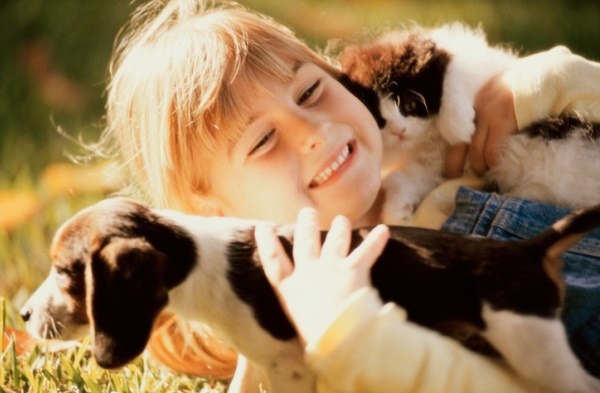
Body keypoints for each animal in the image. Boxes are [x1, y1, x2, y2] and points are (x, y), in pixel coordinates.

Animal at [21, 199, 600, 392]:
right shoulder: (259, 359)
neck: (199, 257)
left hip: (534, 347)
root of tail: (528, 248)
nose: (22, 314)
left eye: (64, 271)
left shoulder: (291, 368)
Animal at [338, 23, 600, 224]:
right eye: (380, 120)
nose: (399, 131)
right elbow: (404, 179)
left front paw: (457, 128)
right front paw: (395, 213)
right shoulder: (434, 168)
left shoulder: (484, 69)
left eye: (410, 106)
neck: (431, 137)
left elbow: (454, 75)